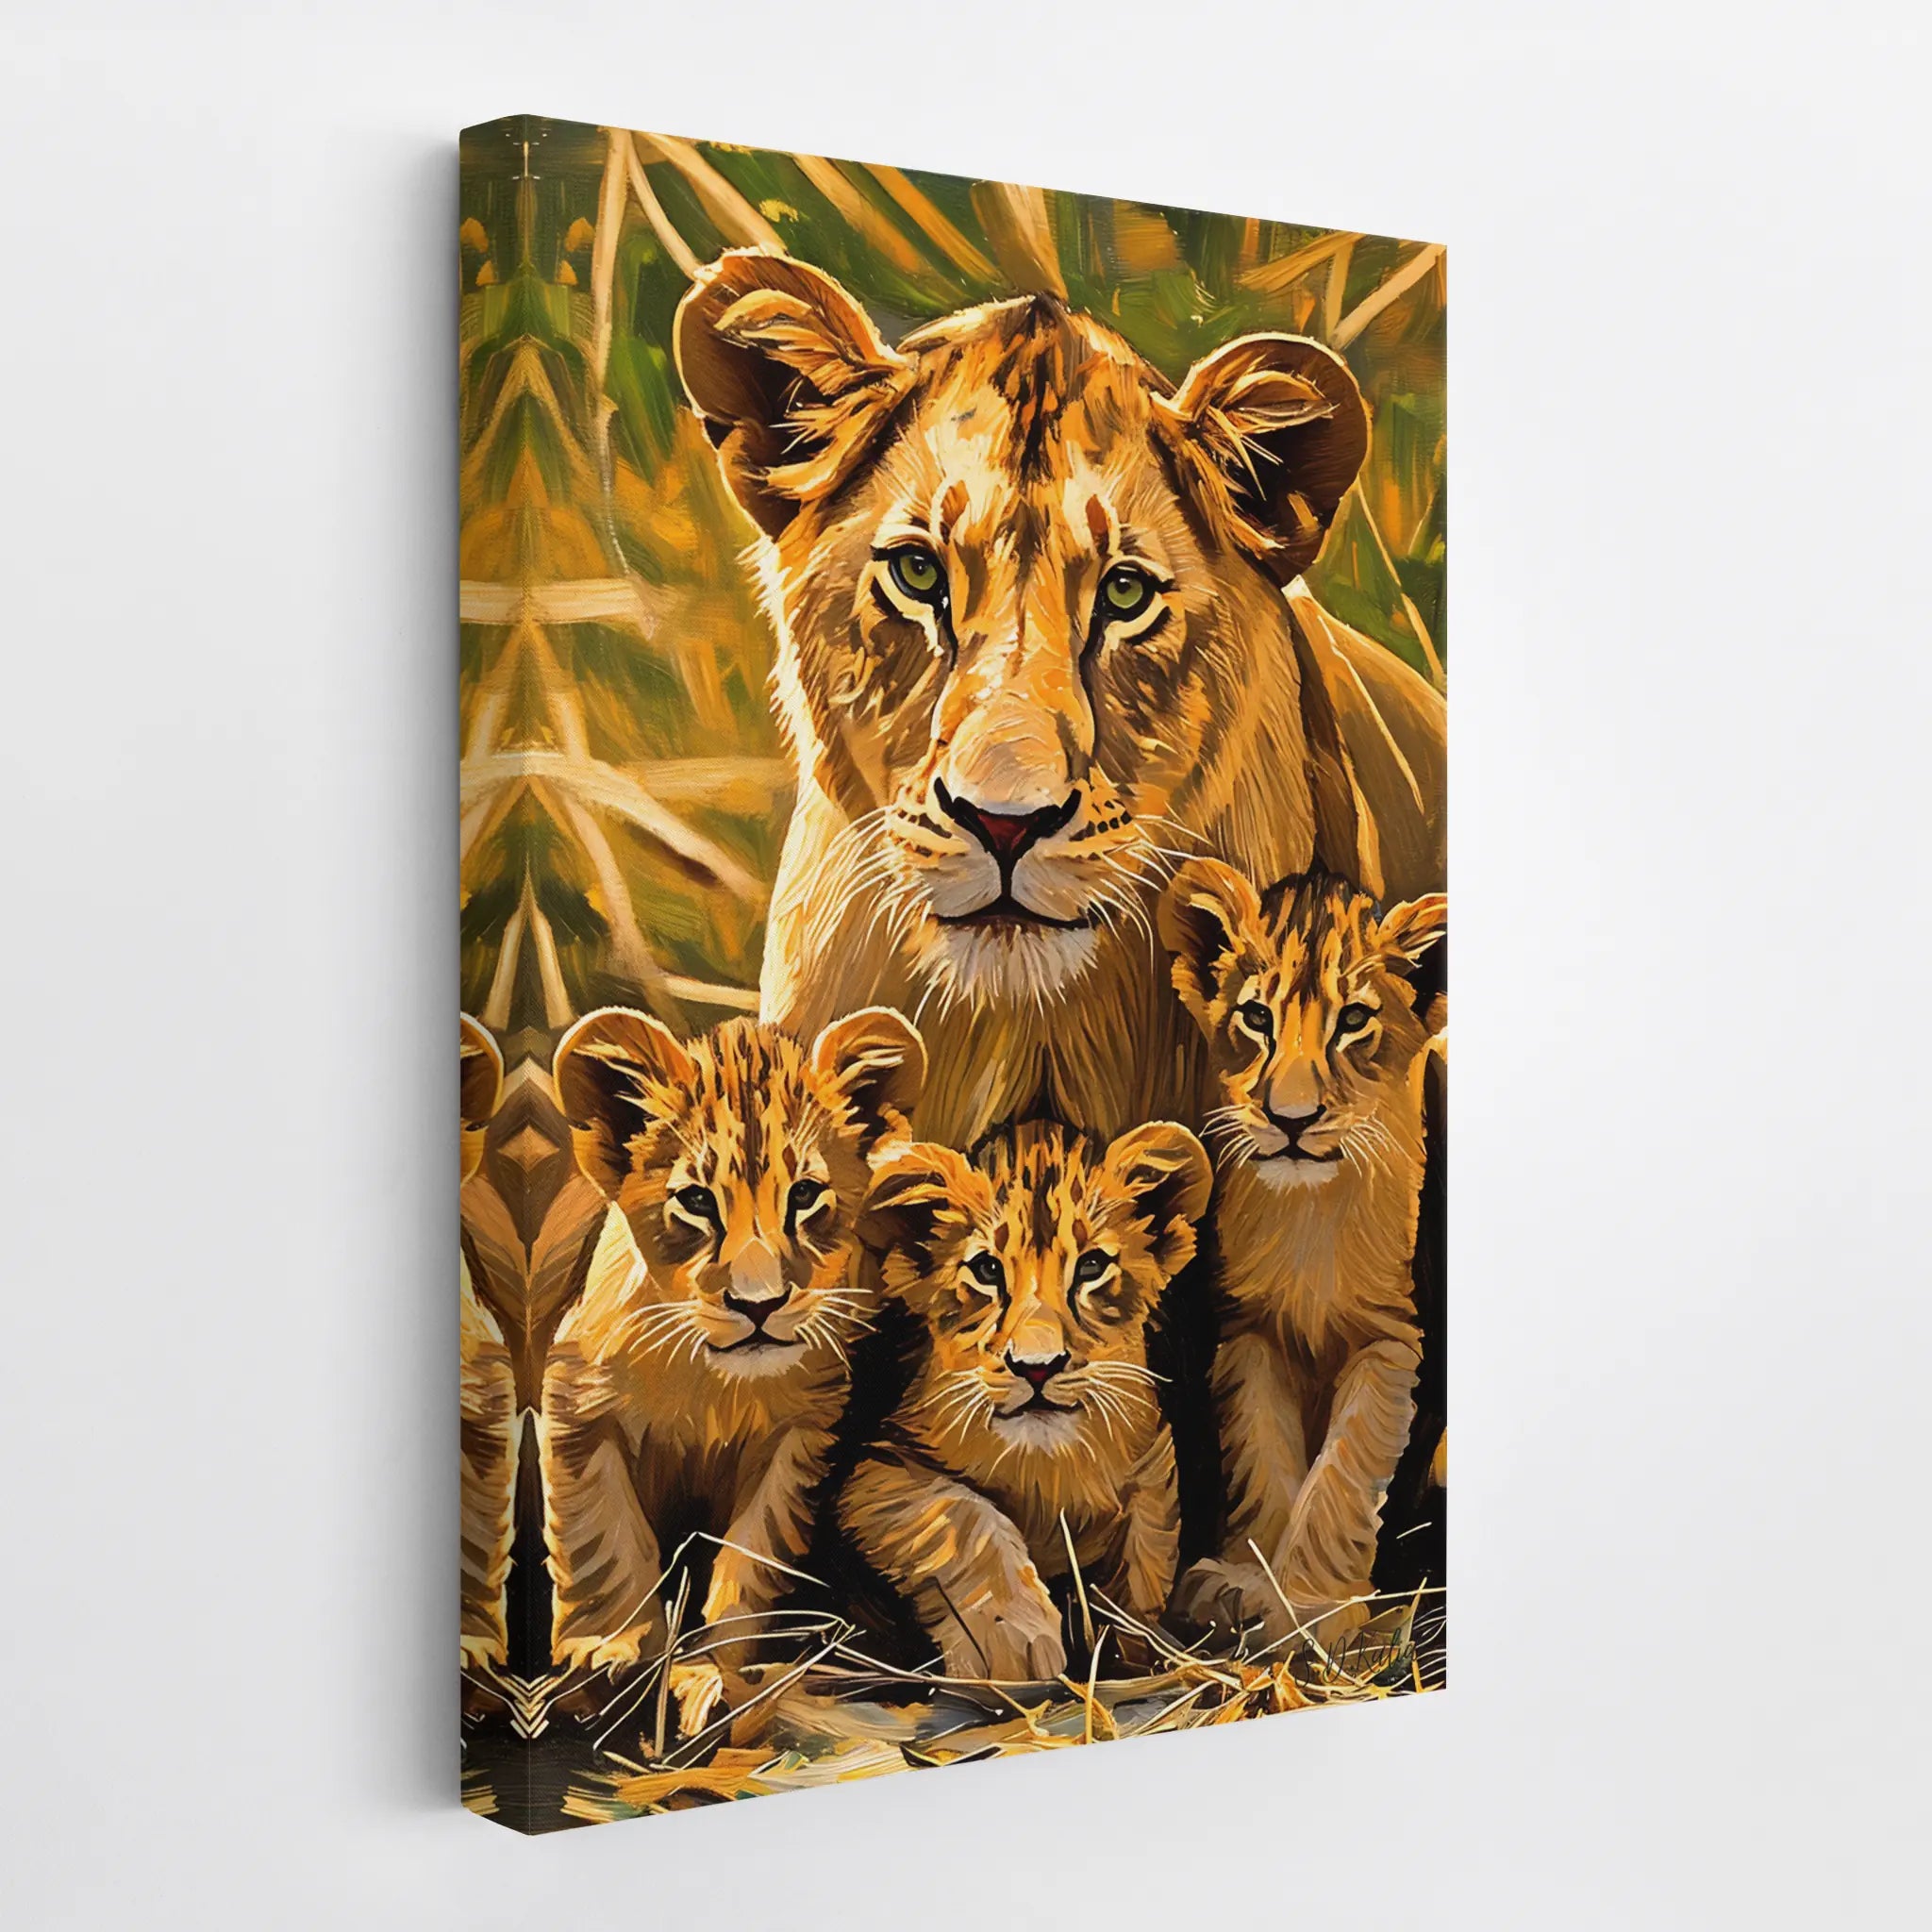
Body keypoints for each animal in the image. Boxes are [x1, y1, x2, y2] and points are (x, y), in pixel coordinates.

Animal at [537, 1003, 924, 1730]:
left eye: (805, 1196)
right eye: (695, 1201)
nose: (758, 1304)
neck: (710, 1382)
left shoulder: (798, 1439)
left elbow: (748, 1560)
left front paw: (719, 1675)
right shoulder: (576, 1403)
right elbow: (604, 1539)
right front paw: (609, 1653)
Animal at [840, 1118, 1212, 1681]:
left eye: (1092, 1266)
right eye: (987, 1271)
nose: (1037, 1366)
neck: (1048, 1467)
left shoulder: (1152, 1465)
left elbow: (1144, 1556)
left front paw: (1133, 1650)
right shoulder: (877, 1469)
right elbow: (962, 1516)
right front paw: (1014, 1646)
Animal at [1157, 858, 1446, 1650]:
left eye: (1353, 1021)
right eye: (1257, 1018)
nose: (1290, 1120)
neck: (1311, 1218)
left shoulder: (1394, 1339)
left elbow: (1344, 1467)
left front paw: (1314, 1606)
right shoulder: (1250, 1333)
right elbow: (1263, 1456)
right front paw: (1244, 1584)